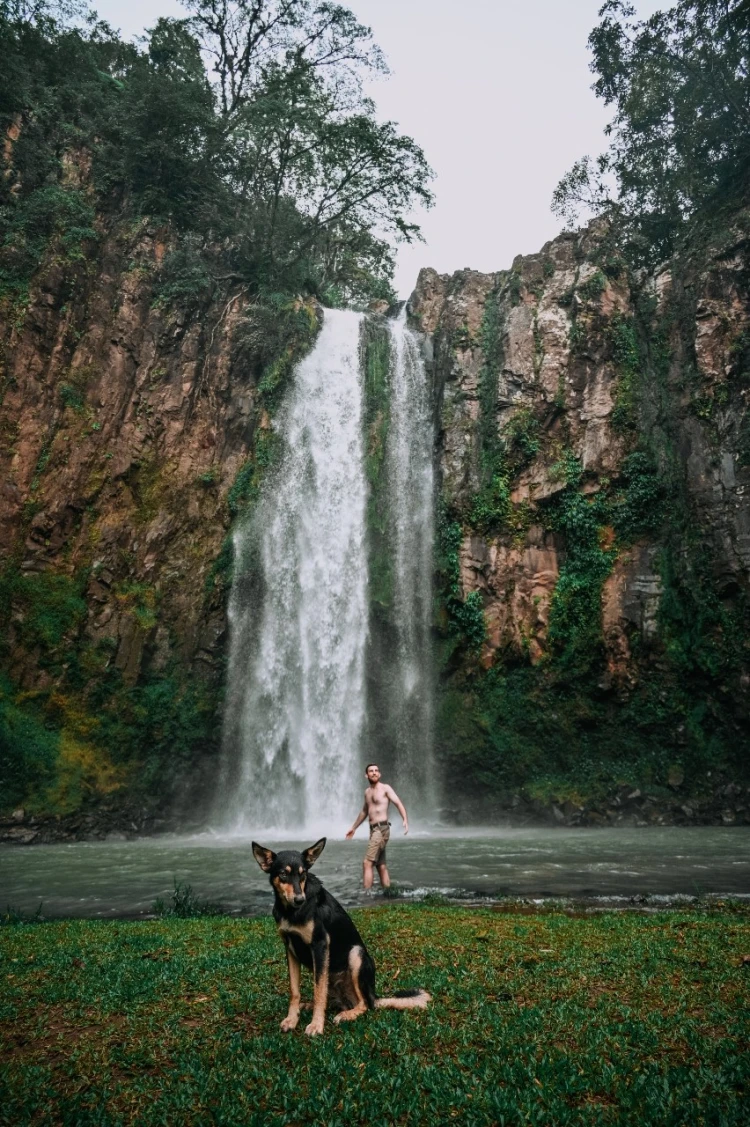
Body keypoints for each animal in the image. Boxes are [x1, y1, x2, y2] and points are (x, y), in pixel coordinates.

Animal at [251, 833, 430, 1032]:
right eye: (283, 874)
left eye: (303, 874)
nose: (299, 899)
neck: (291, 912)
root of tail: (374, 995)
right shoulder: (290, 948)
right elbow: (295, 990)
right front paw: (292, 1018)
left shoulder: (320, 944)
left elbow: (318, 990)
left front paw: (316, 1024)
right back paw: (310, 1006)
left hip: (356, 954)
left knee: (364, 1005)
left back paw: (347, 1014)